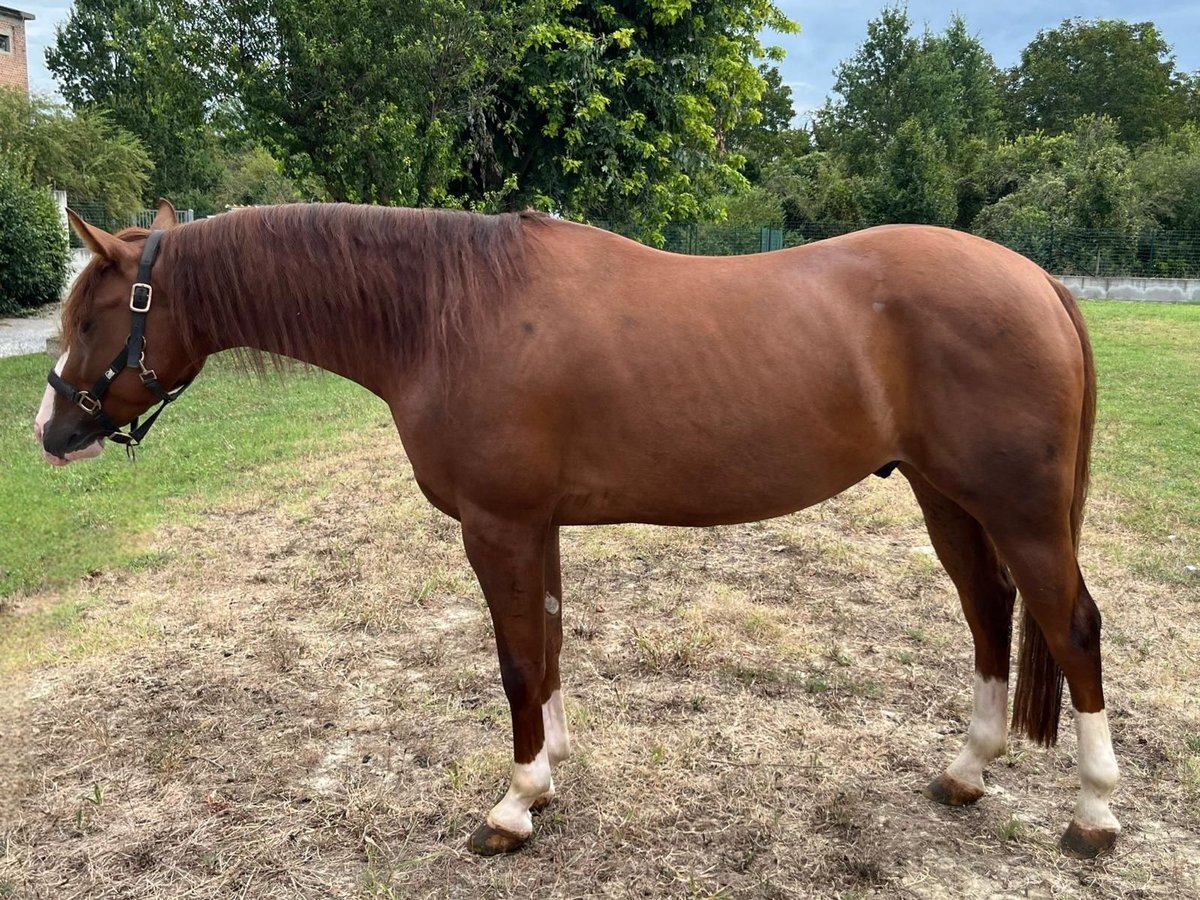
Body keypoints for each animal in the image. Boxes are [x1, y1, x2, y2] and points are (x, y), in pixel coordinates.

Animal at [37, 200, 1118, 864]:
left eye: (94, 318)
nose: (51, 432)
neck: (446, 313)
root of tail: (1037, 282)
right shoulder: (535, 528)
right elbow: (549, 646)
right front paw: (550, 771)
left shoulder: (499, 526)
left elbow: (519, 661)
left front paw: (513, 806)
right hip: (947, 498)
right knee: (988, 613)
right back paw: (967, 772)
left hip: (1017, 509)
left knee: (1070, 626)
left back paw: (1095, 812)